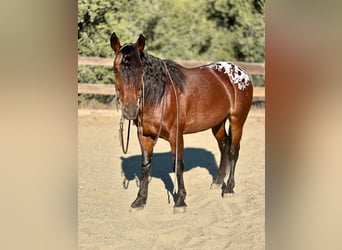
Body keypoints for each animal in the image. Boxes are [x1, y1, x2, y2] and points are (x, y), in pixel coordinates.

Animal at [111, 31, 252, 213]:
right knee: (224, 146)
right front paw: (140, 200)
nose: (130, 110)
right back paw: (217, 182)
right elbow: (145, 166)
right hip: (217, 124)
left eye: (140, 70)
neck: (161, 96)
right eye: (116, 70)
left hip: (237, 121)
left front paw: (180, 201)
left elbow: (178, 166)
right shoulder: (145, 137)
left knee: (234, 151)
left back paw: (228, 188)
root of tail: (240, 73)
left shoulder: (176, 136)